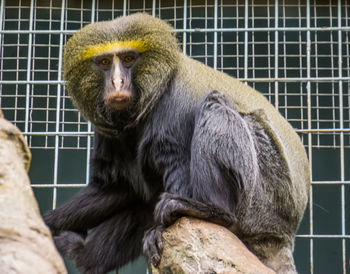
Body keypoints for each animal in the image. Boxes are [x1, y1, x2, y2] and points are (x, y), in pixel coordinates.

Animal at [43, 12, 308, 274]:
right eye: (106, 62)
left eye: (128, 59)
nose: (117, 83)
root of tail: (284, 237)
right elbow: (117, 187)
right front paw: (47, 221)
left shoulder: (173, 109)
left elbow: (179, 167)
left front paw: (162, 229)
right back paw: (82, 254)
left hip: (263, 197)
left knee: (215, 104)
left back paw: (215, 211)